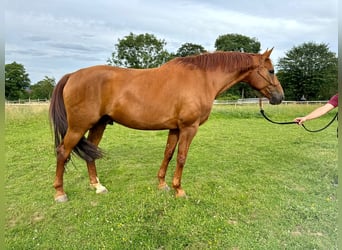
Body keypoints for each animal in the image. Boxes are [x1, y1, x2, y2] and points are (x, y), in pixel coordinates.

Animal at [48, 48, 284, 201]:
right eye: (271, 71)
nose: (280, 97)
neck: (203, 78)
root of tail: (72, 75)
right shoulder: (189, 128)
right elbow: (181, 157)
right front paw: (179, 189)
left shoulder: (175, 128)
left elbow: (168, 154)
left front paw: (162, 185)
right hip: (78, 127)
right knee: (62, 152)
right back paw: (60, 193)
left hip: (99, 125)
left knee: (91, 153)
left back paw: (97, 186)